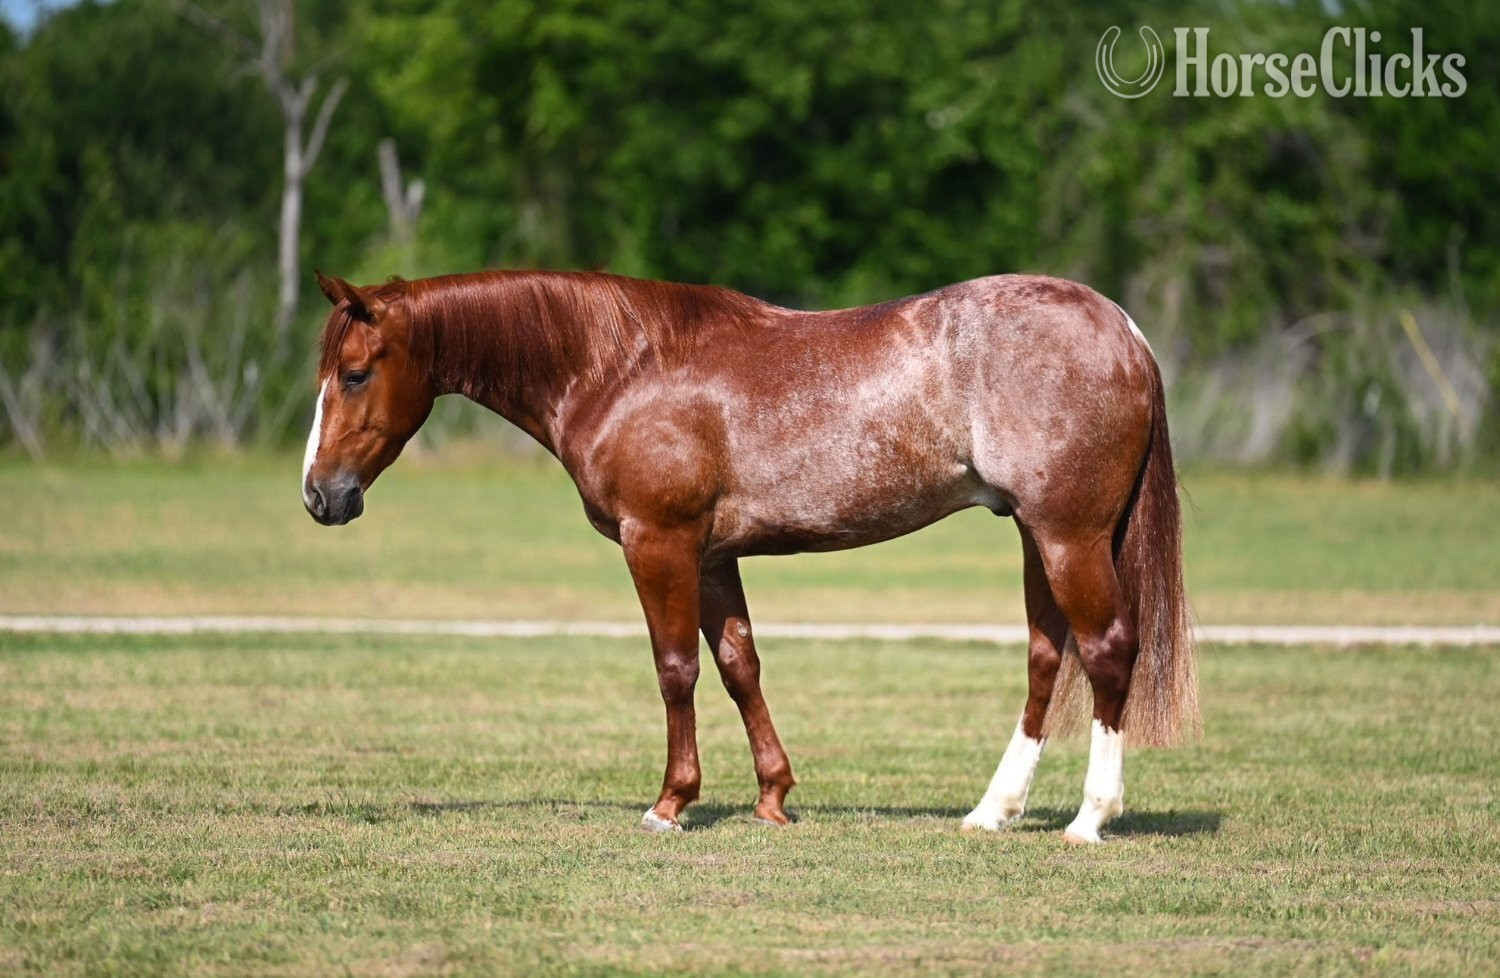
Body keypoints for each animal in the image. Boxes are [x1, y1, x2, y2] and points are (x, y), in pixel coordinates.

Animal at [301, 268, 1198, 843]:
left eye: (355, 373)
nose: (320, 496)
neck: (623, 364)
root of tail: (1122, 327)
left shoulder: (658, 542)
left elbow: (676, 670)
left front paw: (670, 804)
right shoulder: (709, 557)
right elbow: (739, 666)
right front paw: (773, 798)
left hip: (1068, 536)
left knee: (1108, 650)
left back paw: (1089, 819)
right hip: (1035, 538)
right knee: (1048, 657)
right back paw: (992, 811)